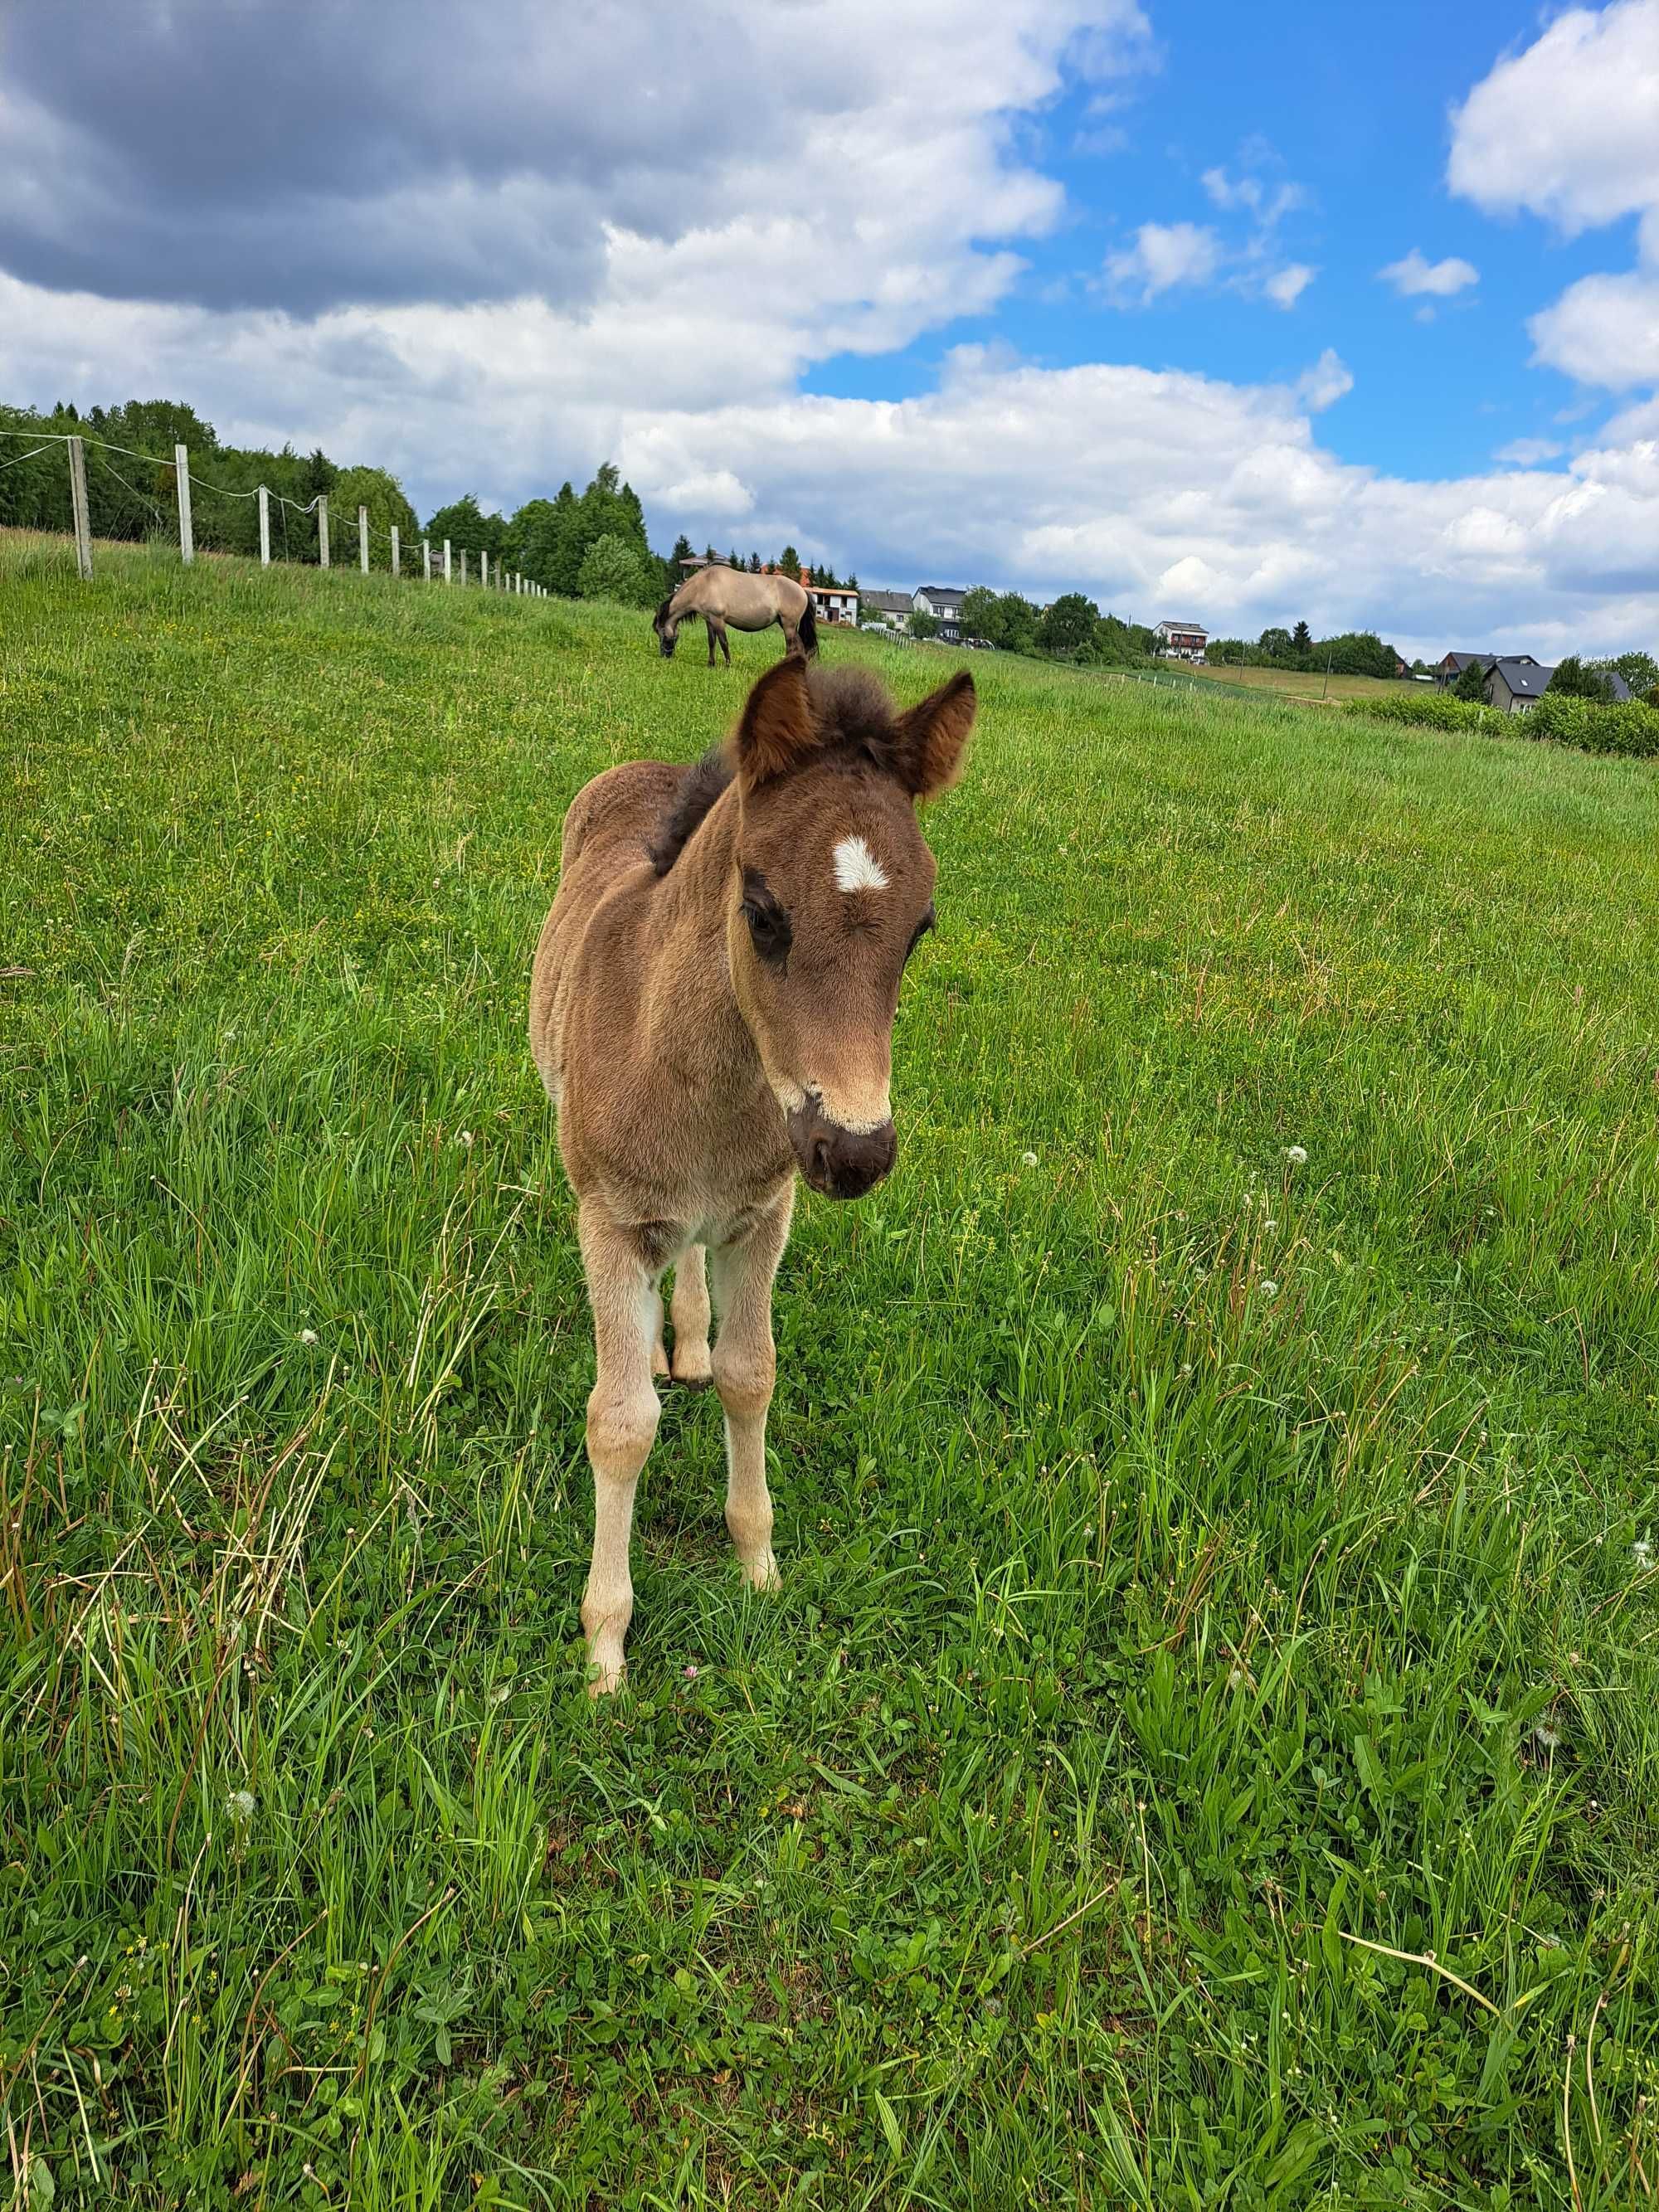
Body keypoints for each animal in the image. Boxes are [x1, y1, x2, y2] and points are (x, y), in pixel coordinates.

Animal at [528, 654, 973, 1689]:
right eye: (763, 913)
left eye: (920, 928)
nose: (855, 1153)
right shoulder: (609, 1223)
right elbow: (621, 1422)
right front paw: (604, 1646)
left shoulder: (764, 1213)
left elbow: (750, 1375)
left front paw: (757, 1562)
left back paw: (684, 1337)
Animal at [654, 562, 827, 664]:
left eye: (660, 632)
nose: (665, 655)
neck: (704, 585)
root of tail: (803, 591)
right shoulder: (709, 620)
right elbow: (712, 642)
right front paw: (711, 664)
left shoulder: (718, 620)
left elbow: (724, 642)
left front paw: (728, 665)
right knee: (800, 647)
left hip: (788, 626)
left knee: (791, 647)